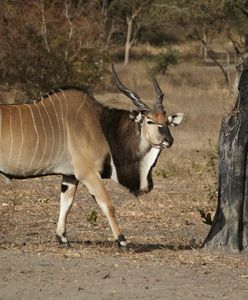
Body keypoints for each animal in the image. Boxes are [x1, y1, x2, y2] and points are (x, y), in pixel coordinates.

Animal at [0, 65, 182, 246]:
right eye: (150, 121)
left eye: (167, 122)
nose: (169, 140)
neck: (102, 125)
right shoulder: (88, 174)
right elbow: (107, 205)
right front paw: (121, 240)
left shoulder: (70, 176)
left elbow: (66, 203)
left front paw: (62, 238)